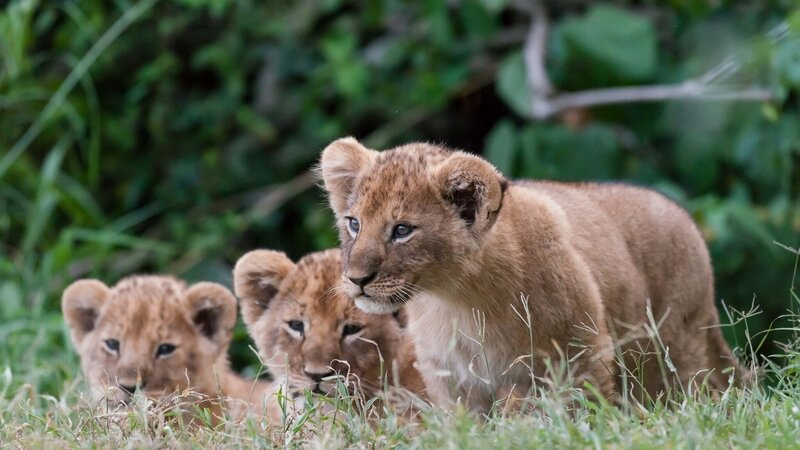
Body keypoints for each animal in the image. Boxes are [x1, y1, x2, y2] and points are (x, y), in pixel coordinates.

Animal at [319, 137, 746, 412]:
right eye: (354, 224)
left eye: (402, 230)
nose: (356, 279)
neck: (459, 299)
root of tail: (686, 219)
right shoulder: (452, 379)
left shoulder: (582, 354)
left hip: (679, 345)